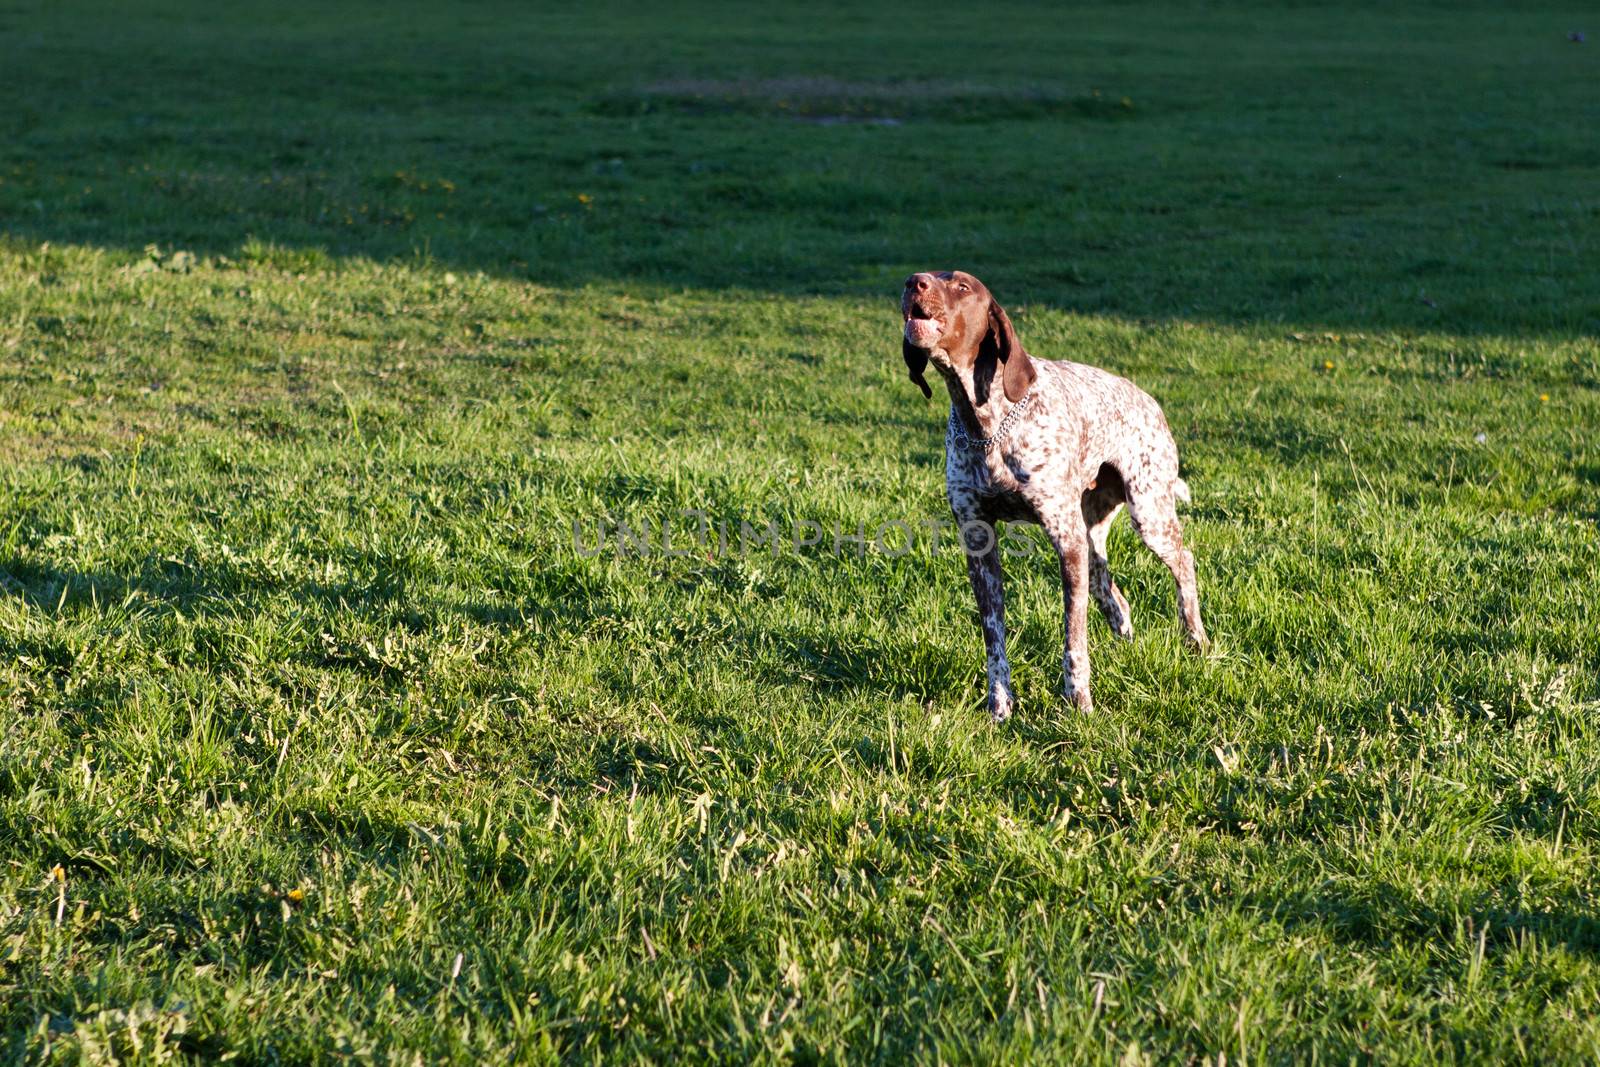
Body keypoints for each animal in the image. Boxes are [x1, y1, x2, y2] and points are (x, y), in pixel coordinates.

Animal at [896, 267, 1203, 723]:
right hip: (1092, 528)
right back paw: (1121, 622)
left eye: (963, 286)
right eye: (927, 275)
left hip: (1148, 514)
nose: (913, 282)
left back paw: (1196, 638)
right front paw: (1000, 706)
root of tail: (1149, 400)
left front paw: (1078, 700)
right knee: (1106, 581)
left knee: (1184, 561)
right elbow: (994, 638)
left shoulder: (1064, 539)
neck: (988, 425)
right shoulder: (979, 544)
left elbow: (1073, 636)